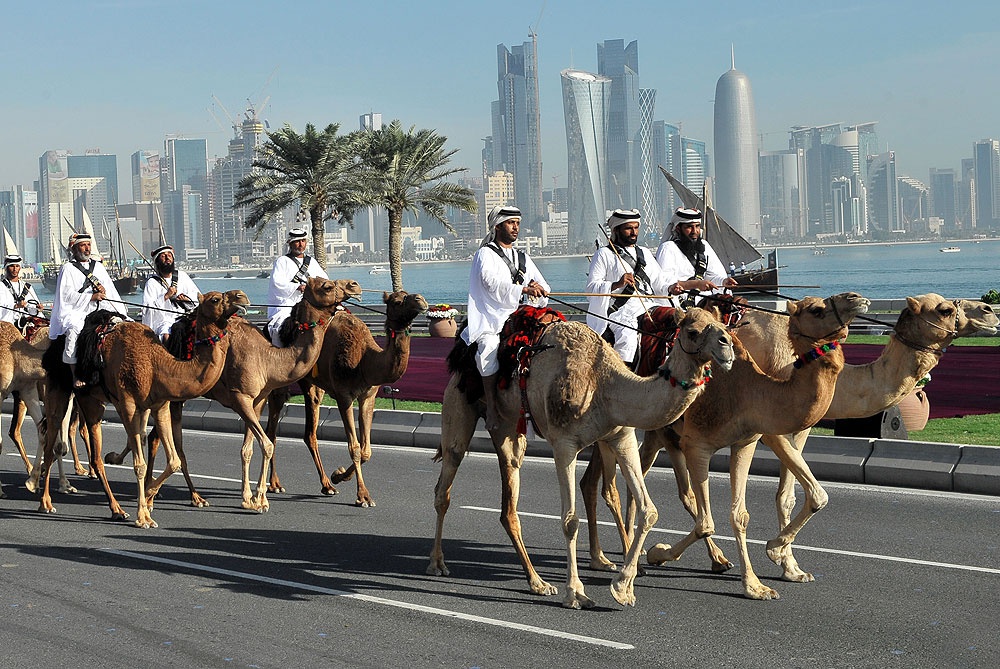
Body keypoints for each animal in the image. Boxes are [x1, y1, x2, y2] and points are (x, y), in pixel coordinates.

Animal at [35, 288, 250, 528]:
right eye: (215, 299)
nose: (242, 297)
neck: (156, 365)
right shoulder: (128, 404)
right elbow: (140, 464)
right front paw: (143, 516)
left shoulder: (160, 406)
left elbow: (174, 460)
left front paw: (148, 498)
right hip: (60, 390)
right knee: (53, 439)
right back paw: (46, 501)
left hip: (92, 401)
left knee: (92, 454)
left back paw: (116, 509)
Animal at [110, 274, 364, 508]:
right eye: (327, 286)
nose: (355, 285)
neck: (268, 358)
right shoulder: (240, 397)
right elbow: (265, 444)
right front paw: (259, 499)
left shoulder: (258, 400)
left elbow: (249, 448)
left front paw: (250, 497)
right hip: (173, 395)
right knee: (159, 438)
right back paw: (162, 494)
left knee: (157, 437)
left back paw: (183, 495)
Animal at [264, 290, 428, 504]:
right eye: (397, 301)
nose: (421, 300)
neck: (365, 360)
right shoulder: (344, 396)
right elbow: (354, 447)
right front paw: (363, 496)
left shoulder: (368, 396)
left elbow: (366, 450)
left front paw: (339, 475)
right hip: (279, 384)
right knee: (272, 431)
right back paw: (274, 484)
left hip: (312, 386)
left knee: (309, 432)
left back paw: (327, 485)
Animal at [426, 310, 740, 612]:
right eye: (693, 331)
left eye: (722, 324)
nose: (728, 347)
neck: (605, 383)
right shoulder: (564, 444)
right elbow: (570, 520)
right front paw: (576, 594)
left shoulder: (622, 436)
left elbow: (649, 510)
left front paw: (623, 588)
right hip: (458, 406)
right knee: (446, 480)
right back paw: (438, 563)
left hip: (509, 430)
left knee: (509, 500)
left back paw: (537, 582)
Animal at [640, 292, 876, 600]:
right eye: (816, 309)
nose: (857, 298)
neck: (747, 390)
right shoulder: (697, 445)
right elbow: (706, 522)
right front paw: (658, 552)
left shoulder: (745, 442)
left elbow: (739, 516)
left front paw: (755, 585)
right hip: (657, 435)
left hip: (665, 436)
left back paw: (716, 560)